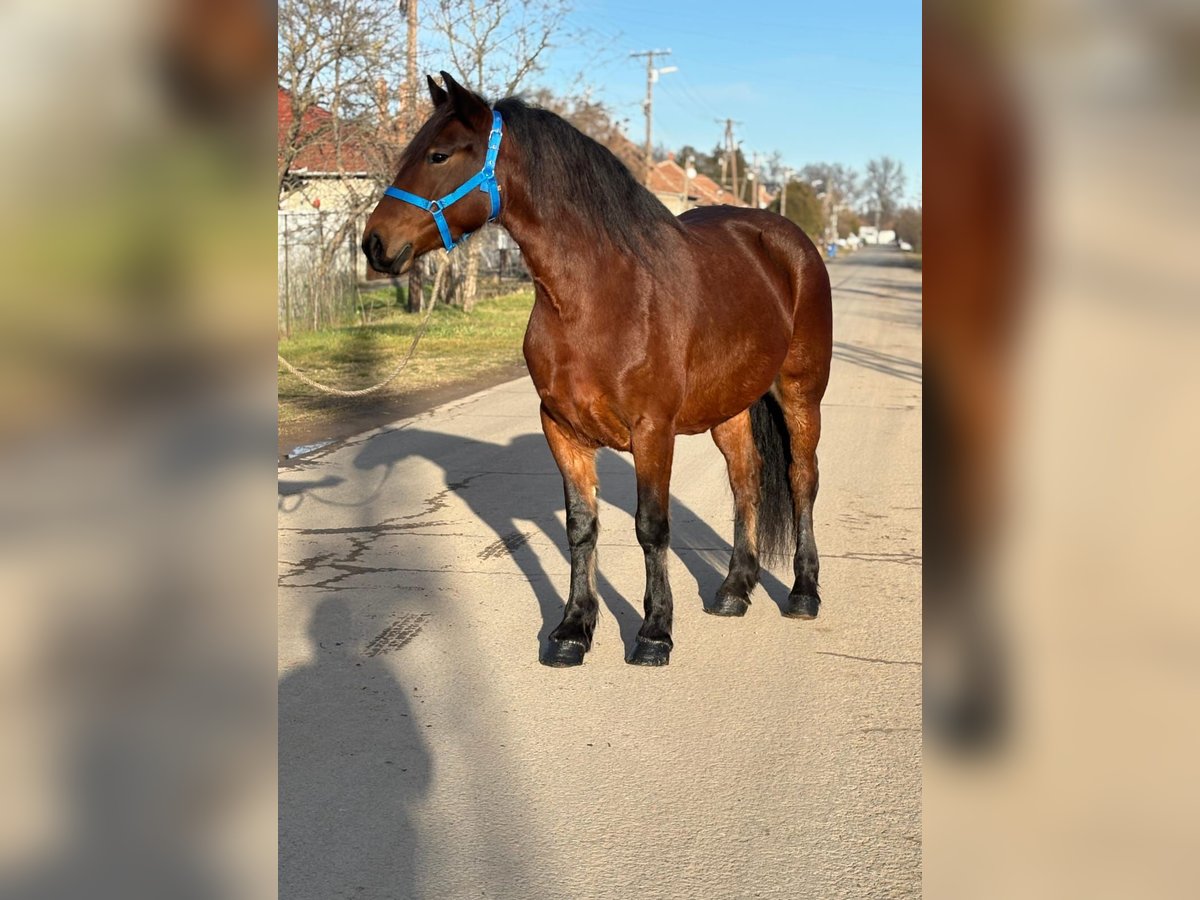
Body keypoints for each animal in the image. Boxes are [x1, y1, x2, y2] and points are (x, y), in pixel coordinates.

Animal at [362, 74, 835, 667]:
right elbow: (580, 529)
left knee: (802, 481)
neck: (598, 297)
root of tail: (788, 241)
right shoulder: (562, 430)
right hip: (731, 404)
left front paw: (654, 632)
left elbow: (651, 529)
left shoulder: (653, 433)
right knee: (746, 481)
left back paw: (804, 592)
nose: (374, 244)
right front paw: (572, 629)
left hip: (800, 395)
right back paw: (733, 589)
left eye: (439, 154)